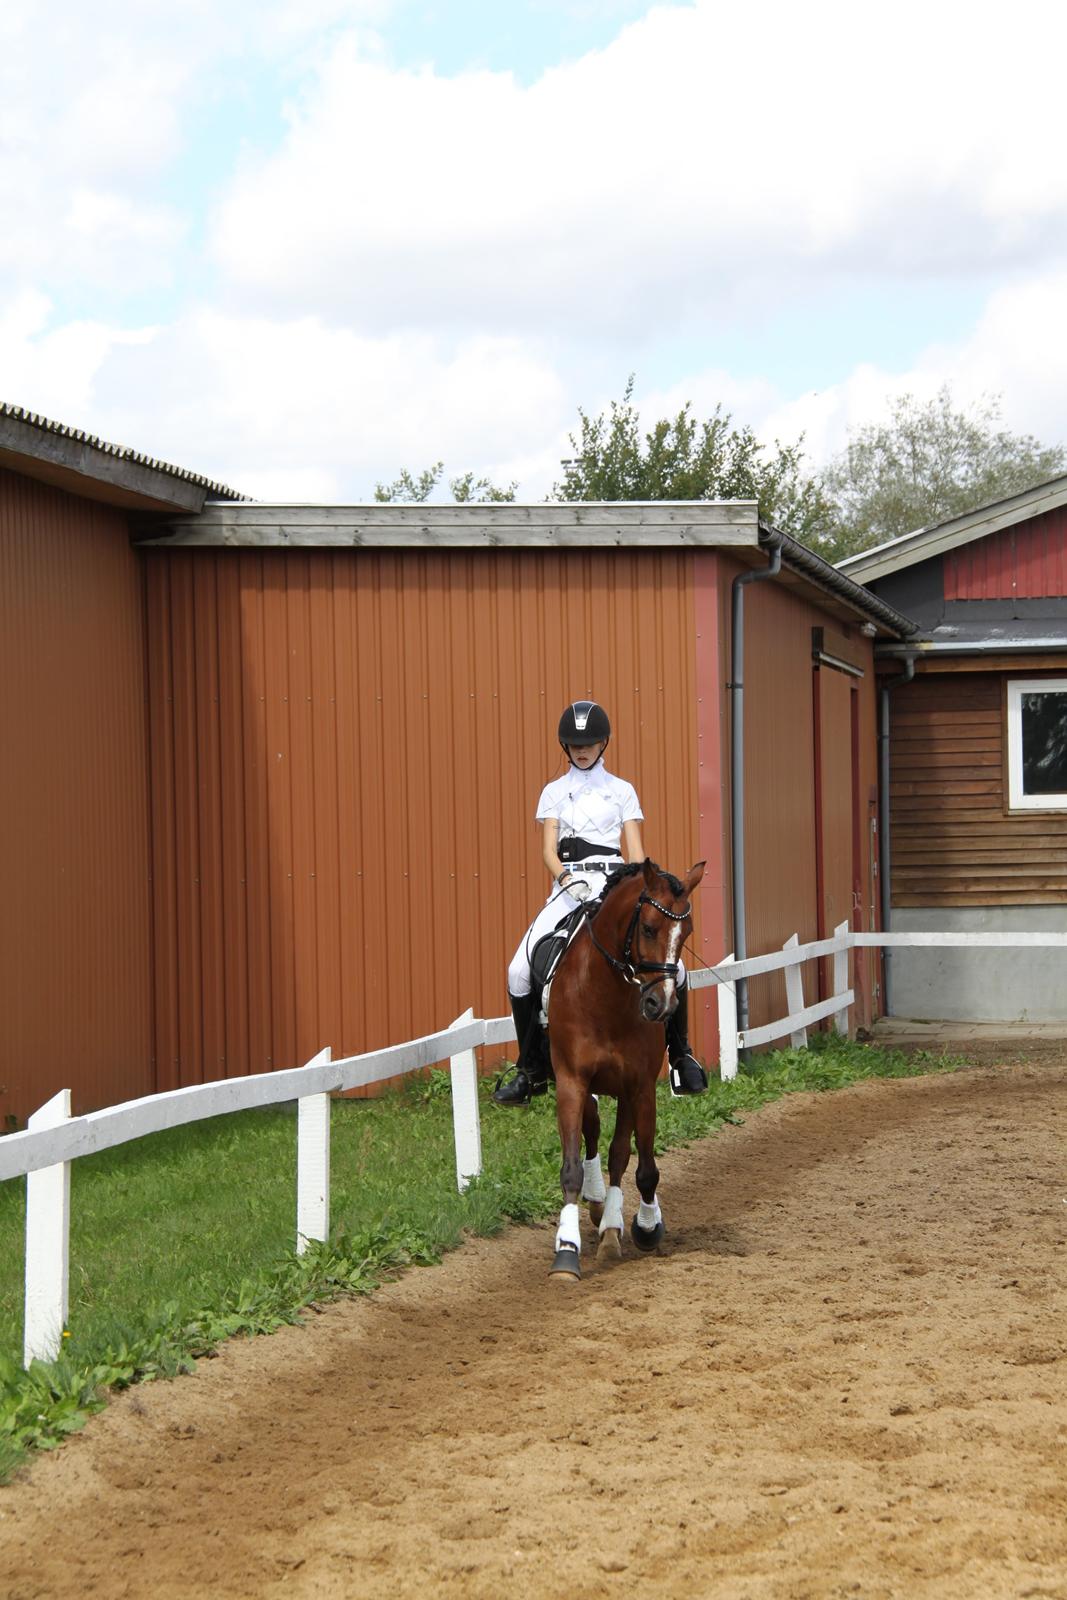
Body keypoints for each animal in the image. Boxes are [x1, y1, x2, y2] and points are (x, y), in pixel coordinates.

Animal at [543, 857, 710, 1280]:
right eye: (648, 928)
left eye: (686, 931)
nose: (660, 1005)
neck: (606, 996)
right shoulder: (571, 1082)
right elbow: (571, 1165)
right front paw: (566, 1251)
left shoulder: (639, 1086)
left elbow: (641, 1164)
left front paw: (643, 1228)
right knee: (593, 1133)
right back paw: (597, 1203)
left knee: (618, 1151)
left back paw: (611, 1224)